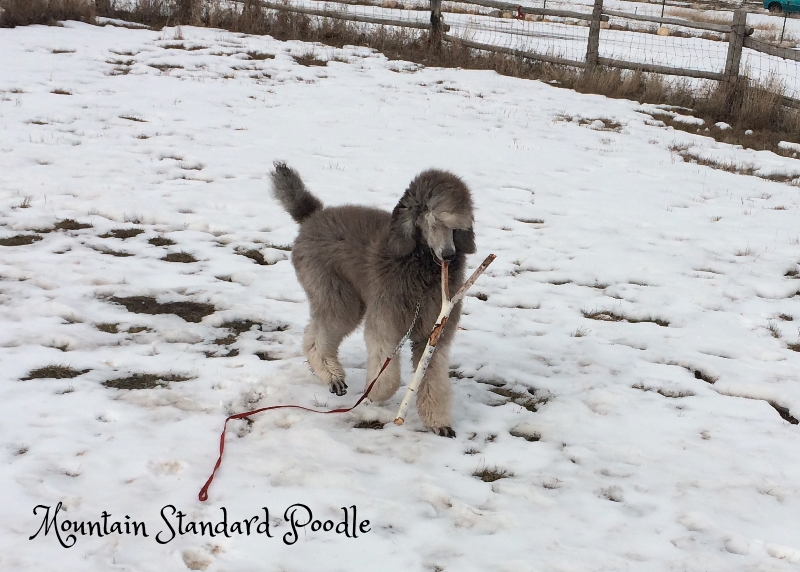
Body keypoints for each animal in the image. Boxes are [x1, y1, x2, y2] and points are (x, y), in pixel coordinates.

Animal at [274, 162, 476, 438]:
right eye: (431, 219)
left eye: (456, 225)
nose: (449, 255)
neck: (421, 268)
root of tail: (314, 216)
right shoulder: (386, 317)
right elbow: (385, 367)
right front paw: (377, 393)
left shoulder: (434, 331)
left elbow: (432, 378)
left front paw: (438, 422)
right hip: (337, 295)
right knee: (318, 338)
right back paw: (333, 376)